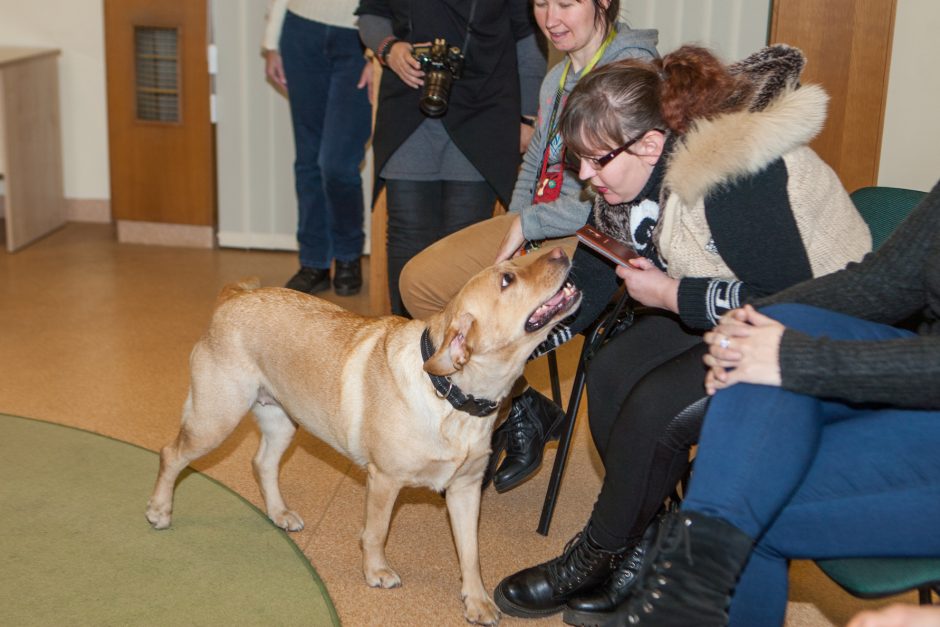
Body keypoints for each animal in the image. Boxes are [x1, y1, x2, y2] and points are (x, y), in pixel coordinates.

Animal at [146, 248, 580, 624]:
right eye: (507, 278)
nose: (562, 252)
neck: (452, 398)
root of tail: (233, 297)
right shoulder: (384, 480)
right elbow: (375, 533)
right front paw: (376, 571)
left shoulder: (466, 488)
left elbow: (470, 553)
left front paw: (476, 600)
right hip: (214, 419)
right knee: (170, 454)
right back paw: (159, 510)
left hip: (281, 420)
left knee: (261, 463)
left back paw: (278, 512)